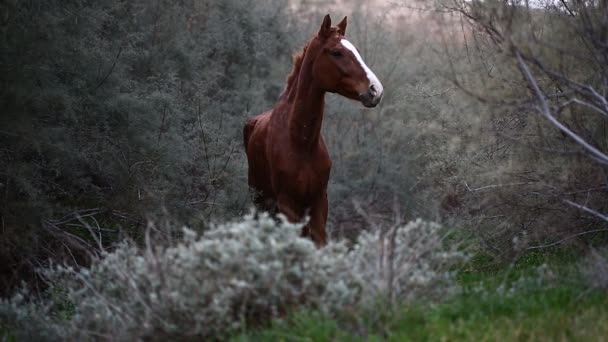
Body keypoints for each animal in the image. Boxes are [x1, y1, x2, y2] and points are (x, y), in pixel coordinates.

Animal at [243, 14, 382, 246]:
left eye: (356, 51)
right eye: (336, 52)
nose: (375, 90)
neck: (301, 142)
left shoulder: (318, 203)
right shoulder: (288, 205)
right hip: (260, 202)